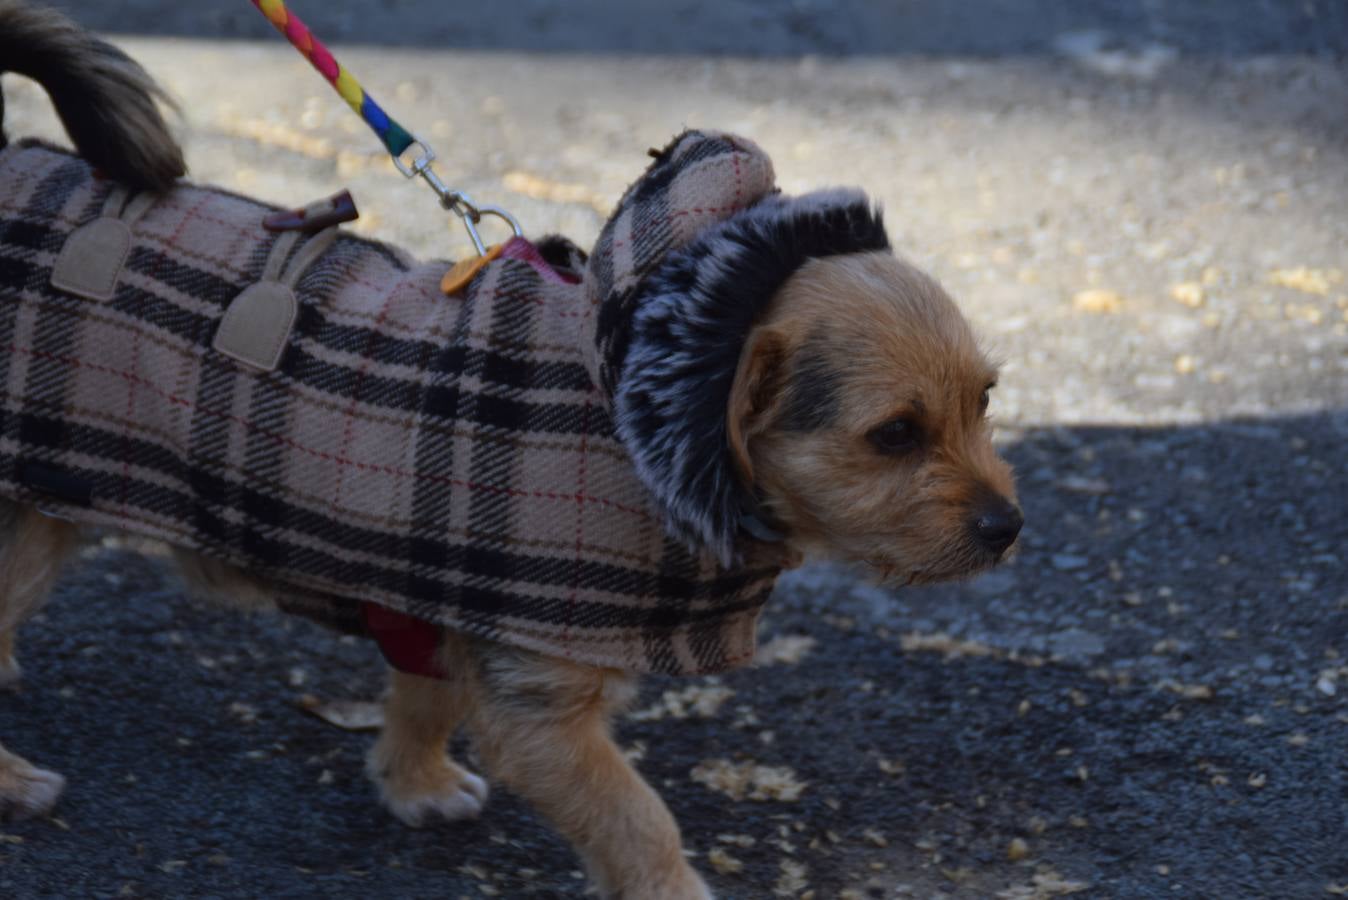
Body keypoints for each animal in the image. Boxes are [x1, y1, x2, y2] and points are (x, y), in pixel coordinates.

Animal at [0, 3, 1013, 894]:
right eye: (894, 435)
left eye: (986, 401)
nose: (1009, 529)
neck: (631, 415)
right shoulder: (546, 712)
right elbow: (638, 820)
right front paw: (669, 888)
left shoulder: (451, 614)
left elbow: (429, 698)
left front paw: (413, 780)